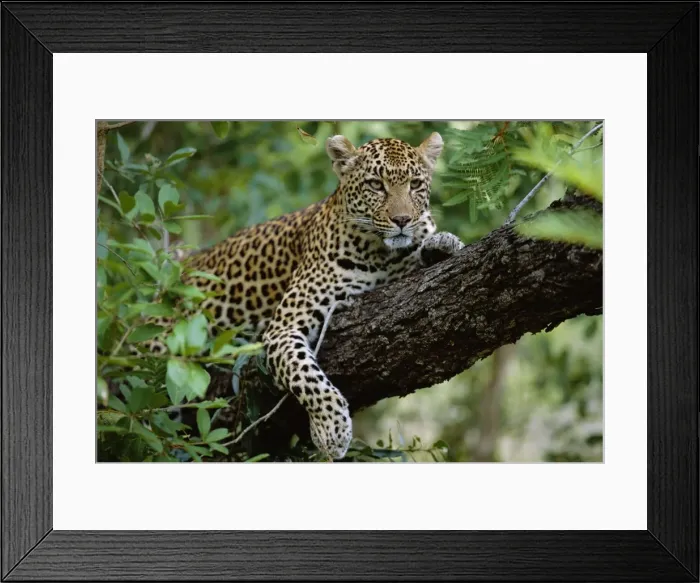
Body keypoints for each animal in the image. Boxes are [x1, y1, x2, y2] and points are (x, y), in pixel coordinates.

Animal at [140, 132, 465, 460]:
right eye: (375, 184)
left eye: (415, 184)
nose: (402, 220)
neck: (382, 254)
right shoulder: (283, 328)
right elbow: (307, 377)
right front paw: (331, 430)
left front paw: (442, 244)